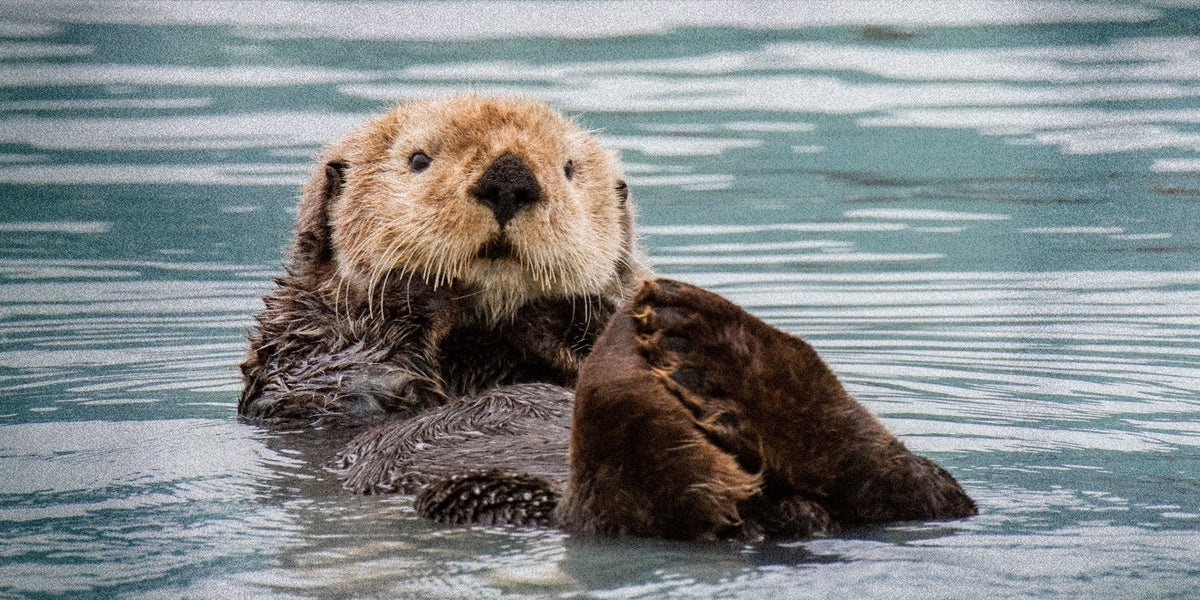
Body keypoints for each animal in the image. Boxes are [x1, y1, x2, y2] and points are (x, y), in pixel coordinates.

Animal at [240, 96, 976, 540]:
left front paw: (584, 315)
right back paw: (649, 384)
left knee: (923, 492)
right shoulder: (300, 353)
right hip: (482, 494)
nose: (510, 178)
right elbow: (348, 377)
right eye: (418, 159)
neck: (488, 342)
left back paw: (716, 346)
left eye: (567, 169)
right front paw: (422, 292)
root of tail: (764, 516)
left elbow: (583, 322)